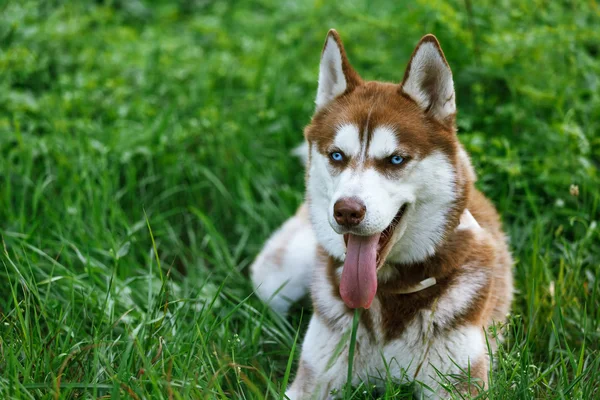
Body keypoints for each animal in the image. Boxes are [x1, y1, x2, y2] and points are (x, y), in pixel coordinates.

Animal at [251, 29, 512, 398]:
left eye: (396, 159)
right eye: (337, 155)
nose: (346, 211)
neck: (389, 292)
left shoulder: (457, 383)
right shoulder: (312, 382)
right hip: (276, 277)